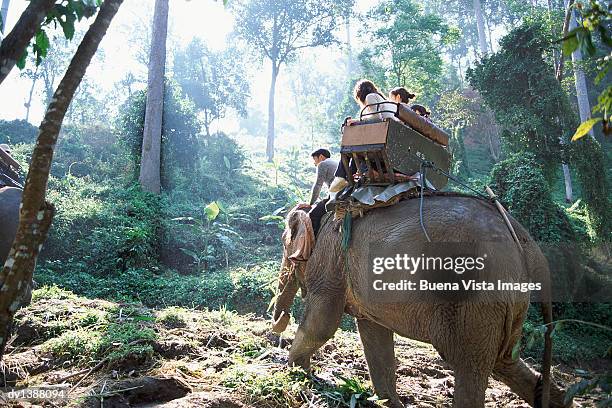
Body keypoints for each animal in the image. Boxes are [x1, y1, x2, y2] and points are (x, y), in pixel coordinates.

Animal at [270, 195, 572, 408]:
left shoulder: (330, 259)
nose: (278, 323)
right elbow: (374, 335)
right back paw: (561, 399)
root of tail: (525, 242)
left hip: (474, 300)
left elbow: (322, 323)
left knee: (469, 365)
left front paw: (292, 372)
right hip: (509, 304)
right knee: (504, 361)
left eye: (284, 245)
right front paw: (388, 404)